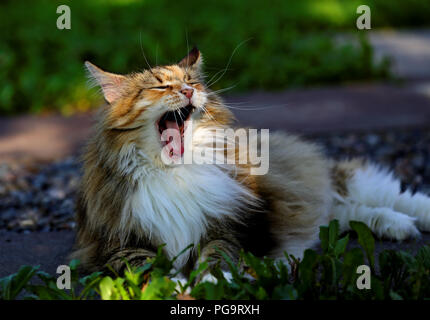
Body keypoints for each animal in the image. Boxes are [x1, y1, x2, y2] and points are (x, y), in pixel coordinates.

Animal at [70, 46, 430, 276]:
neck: (175, 174)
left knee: (392, 197)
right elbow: (148, 270)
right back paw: (397, 226)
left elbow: (217, 259)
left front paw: (208, 283)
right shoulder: (116, 246)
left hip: (330, 181)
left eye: (192, 82)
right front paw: (175, 286)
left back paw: (410, 221)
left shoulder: (231, 230)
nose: (188, 91)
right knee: (345, 214)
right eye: (161, 86)